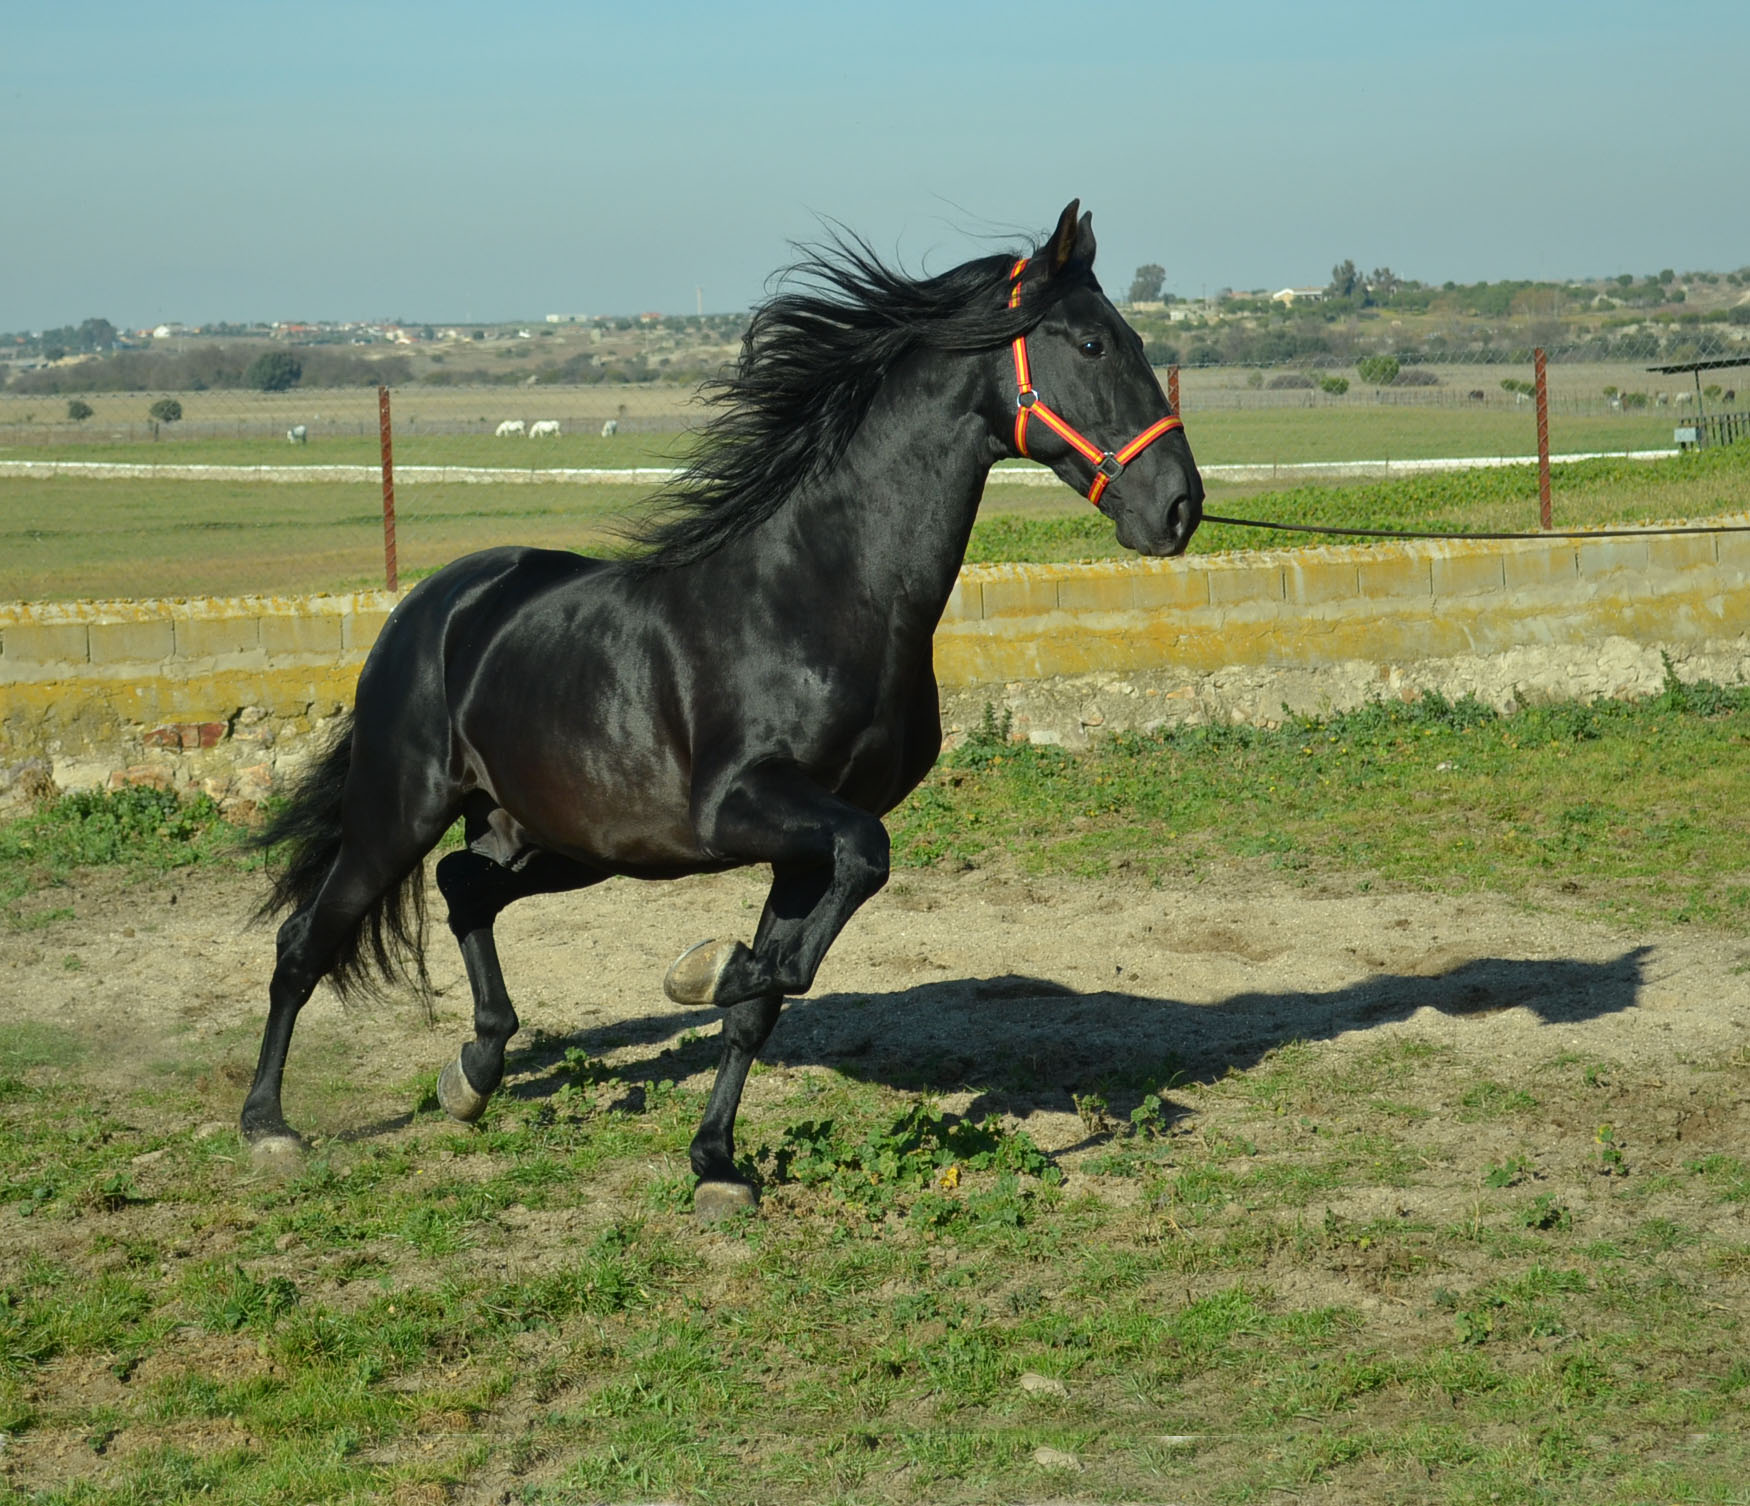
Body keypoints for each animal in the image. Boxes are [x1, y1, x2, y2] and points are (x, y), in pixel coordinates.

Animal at [246, 202, 1204, 1210]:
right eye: (1094, 342)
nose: (1180, 507)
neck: (817, 596)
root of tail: (431, 606)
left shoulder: (806, 840)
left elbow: (773, 993)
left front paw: (715, 1159)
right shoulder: (743, 807)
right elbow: (848, 880)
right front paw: (703, 970)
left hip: (559, 841)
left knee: (464, 888)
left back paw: (473, 1074)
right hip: (399, 812)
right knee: (305, 941)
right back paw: (268, 1127)